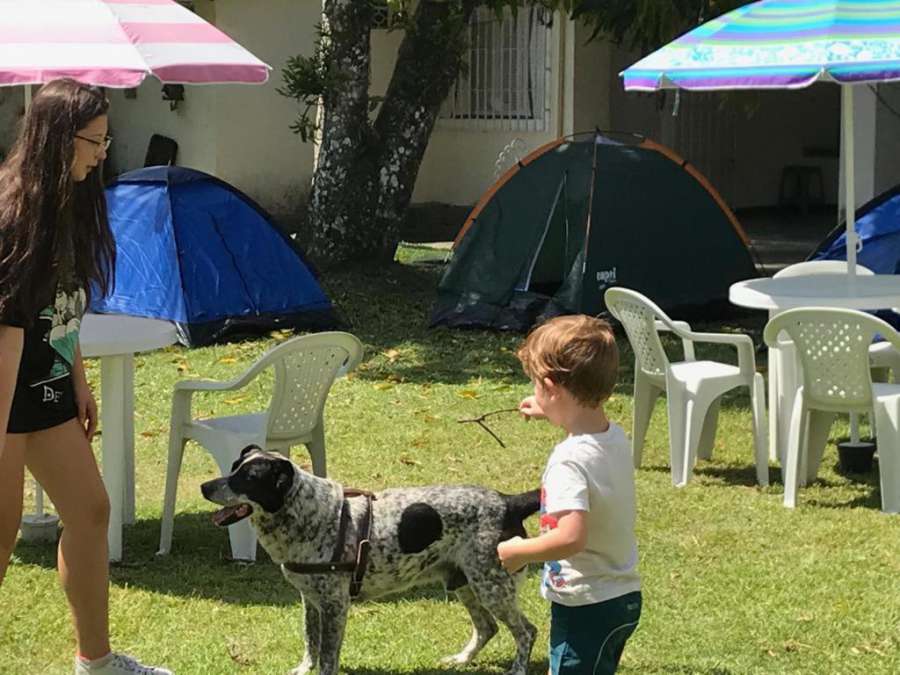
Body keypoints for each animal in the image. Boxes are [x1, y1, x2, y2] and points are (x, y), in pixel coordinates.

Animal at [202, 446, 540, 672]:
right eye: (233, 467)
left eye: (249, 478)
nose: (204, 487)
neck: (308, 515)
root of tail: (510, 502)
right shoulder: (310, 600)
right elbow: (311, 642)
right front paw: (302, 669)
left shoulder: (335, 605)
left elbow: (327, 656)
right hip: (465, 583)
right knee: (487, 628)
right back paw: (460, 659)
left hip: (492, 587)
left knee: (526, 632)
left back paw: (517, 669)